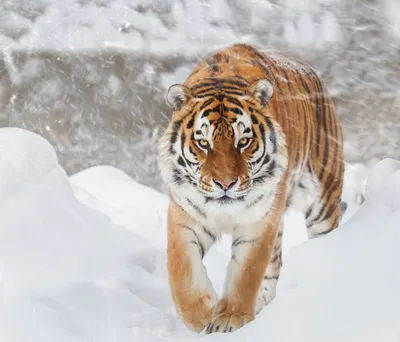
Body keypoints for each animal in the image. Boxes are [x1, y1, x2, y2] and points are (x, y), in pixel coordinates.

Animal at [157, 42, 344, 334]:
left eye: (243, 141)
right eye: (203, 143)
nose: (225, 183)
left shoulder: (259, 222)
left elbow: (246, 272)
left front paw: (229, 319)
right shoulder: (184, 215)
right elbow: (182, 269)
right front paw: (200, 316)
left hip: (322, 202)